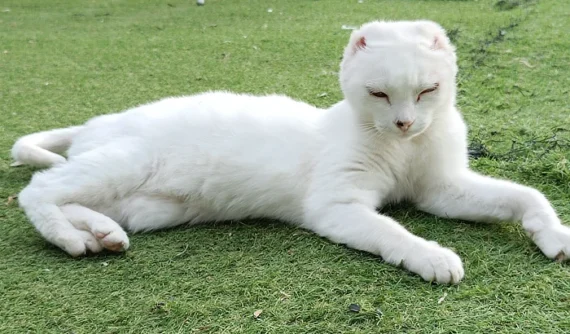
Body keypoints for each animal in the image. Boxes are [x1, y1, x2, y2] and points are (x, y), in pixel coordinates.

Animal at [11, 19, 564, 284]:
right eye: (380, 94)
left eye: (428, 91)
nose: (405, 122)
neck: (402, 148)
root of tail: (96, 122)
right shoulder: (336, 204)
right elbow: (392, 231)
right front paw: (431, 255)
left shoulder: (442, 190)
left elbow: (526, 195)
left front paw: (554, 233)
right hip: (126, 163)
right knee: (39, 190)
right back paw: (70, 237)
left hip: (144, 205)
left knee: (73, 198)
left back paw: (102, 233)